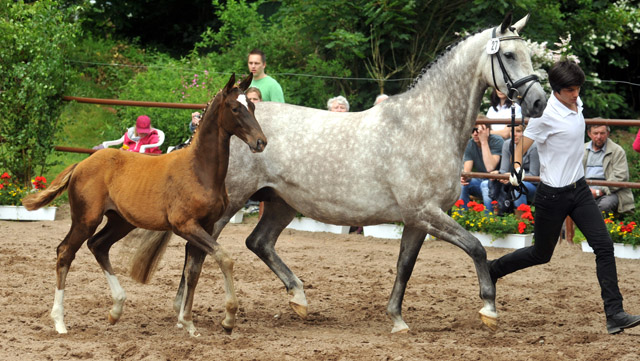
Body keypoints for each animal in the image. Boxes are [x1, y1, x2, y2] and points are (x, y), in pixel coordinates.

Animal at [130, 14, 544, 334]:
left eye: (529, 54)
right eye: (509, 55)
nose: (538, 101)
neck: (424, 125)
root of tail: (212, 126)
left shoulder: (417, 219)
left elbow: (405, 267)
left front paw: (397, 320)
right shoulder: (426, 213)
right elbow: (476, 247)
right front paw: (488, 309)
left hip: (279, 202)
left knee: (257, 242)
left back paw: (298, 299)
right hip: (231, 204)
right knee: (197, 250)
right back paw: (184, 314)